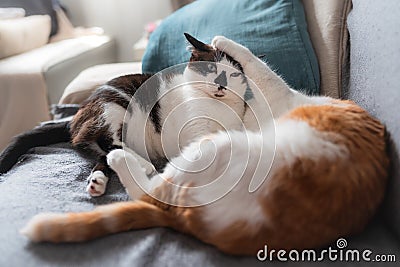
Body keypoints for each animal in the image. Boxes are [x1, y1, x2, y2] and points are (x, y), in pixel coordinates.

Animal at [0, 33, 250, 198]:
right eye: (211, 68)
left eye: (234, 74)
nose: (221, 85)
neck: (217, 106)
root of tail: (77, 114)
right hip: (114, 106)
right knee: (106, 142)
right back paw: (142, 164)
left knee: (101, 154)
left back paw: (97, 182)